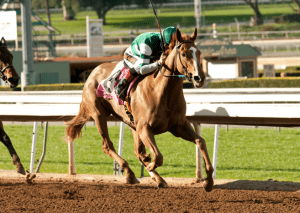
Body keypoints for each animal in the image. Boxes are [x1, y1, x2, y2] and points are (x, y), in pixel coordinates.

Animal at [64, 28, 213, 191]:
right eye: (184, 54)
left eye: (199, 52)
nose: (199, 78)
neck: (161, 92)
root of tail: (93, 72)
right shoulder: (145, 128)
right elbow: (158, 157)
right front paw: (150, 164)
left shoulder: (178, 126)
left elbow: (201, 141)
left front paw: (209, 181)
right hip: (99, 115)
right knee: (107, 146)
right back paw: (130, 173)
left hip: (131, 122)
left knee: (138, 151)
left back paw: (157, 177)